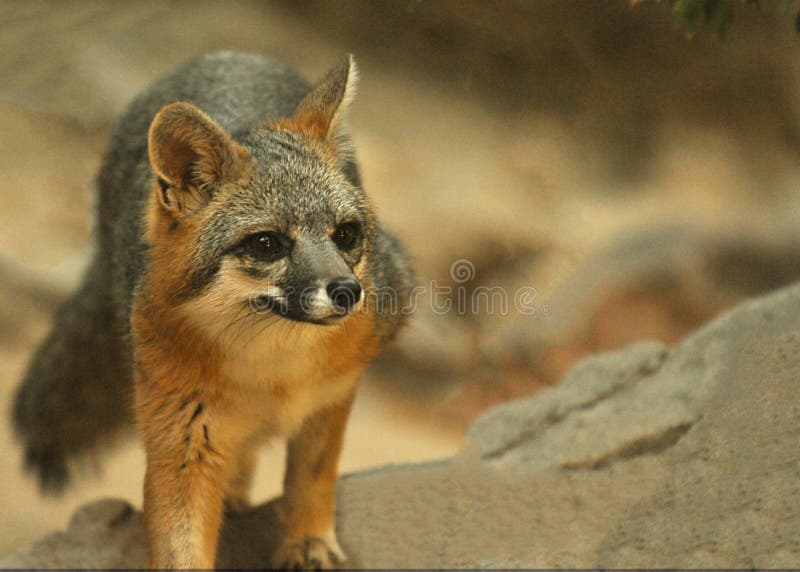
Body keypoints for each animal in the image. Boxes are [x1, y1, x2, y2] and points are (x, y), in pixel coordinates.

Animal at [12, 51, 413, 569]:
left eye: (345, 234)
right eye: (266, 244)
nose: (347, 291)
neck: (274, 368)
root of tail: (226, 54)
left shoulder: (333, 391)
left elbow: (311, 476)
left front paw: (308, 540)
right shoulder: (181, 441)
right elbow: (180, 541)